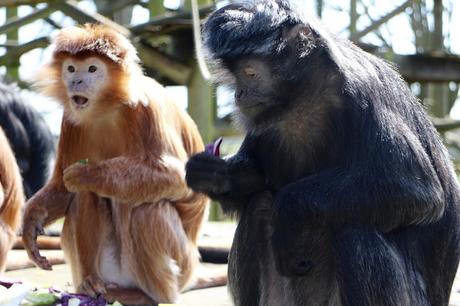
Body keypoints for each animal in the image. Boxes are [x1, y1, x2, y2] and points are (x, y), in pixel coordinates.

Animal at [21, 23, 208, 304]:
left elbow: (177, 178)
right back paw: (90, 284)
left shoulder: (148, 110)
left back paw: (149, 296)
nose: (76, 81)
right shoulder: (70, 121)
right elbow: (62, 187)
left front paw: (88, 174)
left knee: (144, 208)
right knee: (84, 198)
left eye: (92, 69)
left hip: (182, 266)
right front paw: (31, 219)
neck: (107, 108)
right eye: (71, 69)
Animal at [186, 0, 460, 306]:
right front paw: (214, 174)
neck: (306, 97)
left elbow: (417, 192)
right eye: (236, 77)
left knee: (355, 232)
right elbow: (254, 182)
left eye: (250, 73)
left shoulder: (364, 90)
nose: (239, 95)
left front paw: (288, 210)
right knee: (259, 205)